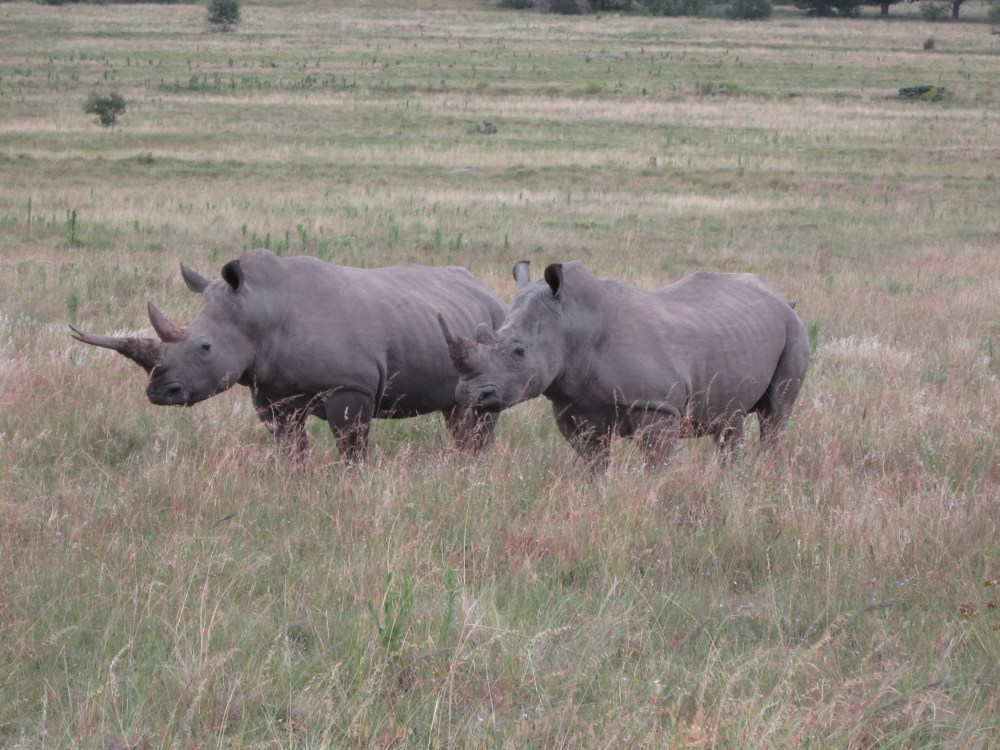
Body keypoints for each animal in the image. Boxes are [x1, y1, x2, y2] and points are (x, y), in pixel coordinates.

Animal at [70, 249, 507, 461]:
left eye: (205, 347)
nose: (160, 393)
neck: (259, 310)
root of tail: (485, 289)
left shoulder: (351, 387)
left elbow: (352, 447)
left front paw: (353, 485)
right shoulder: (271, 393)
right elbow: (289, 446)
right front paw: (296, 483)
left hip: (497, 326)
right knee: (456, 410)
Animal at [439, 261, 809, 472]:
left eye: (518, 351)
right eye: (486, 333)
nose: (468, 393)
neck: (572, 324)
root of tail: (780, 296)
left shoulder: (657, 406)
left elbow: (657, 462)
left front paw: (656, 497)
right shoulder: (573, 406)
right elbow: (595, 462)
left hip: (793, 328)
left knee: (775, 413)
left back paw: (765, 471)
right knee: (730, 419)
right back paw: (731, 478)